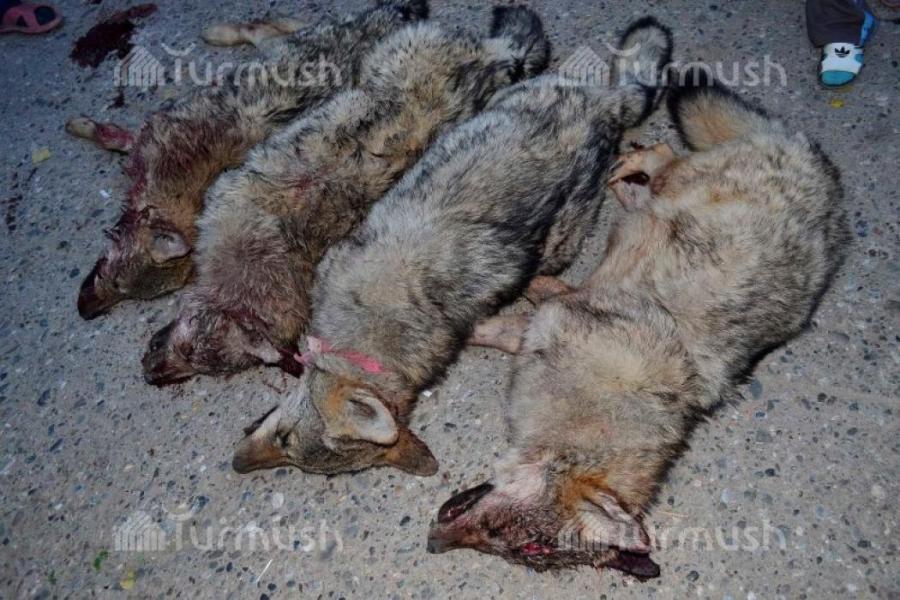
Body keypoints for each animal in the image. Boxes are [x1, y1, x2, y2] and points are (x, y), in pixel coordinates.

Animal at [71, 0, 429, 319]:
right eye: (111, 278)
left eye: (122, 288)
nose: (84, 312)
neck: (177, 191)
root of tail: (398, 15)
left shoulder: (154, 135)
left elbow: (115, 137)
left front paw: (88, 128)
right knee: (277, 26)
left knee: (262, 29)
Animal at [425, 69, 848, 580]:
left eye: (520, 550)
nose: (433, 543)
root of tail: (824, 171)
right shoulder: (556, 313)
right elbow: (519, 307)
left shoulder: (547, 320)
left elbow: (501, 326)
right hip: (680, 179)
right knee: (664, 157)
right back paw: (631, 169)